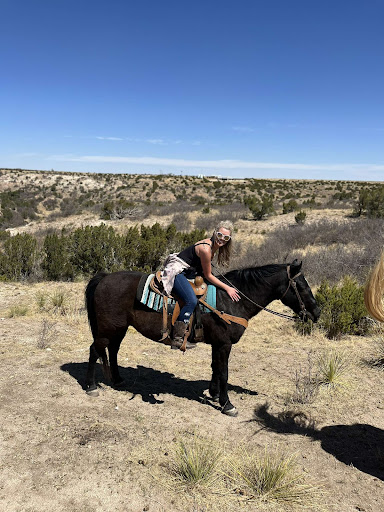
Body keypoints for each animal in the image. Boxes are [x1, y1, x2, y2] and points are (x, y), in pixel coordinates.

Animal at [85, 260, 320, 416]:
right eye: (301, 286)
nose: (317, 313)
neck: (231, 300)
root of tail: (104, 277)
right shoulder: (224, 344)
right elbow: (224, 372)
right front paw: (227, 404)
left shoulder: (218, 344)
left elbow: (215, 368)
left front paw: (214, 394)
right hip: (107, 329)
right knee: (95, 350)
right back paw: (91, 387)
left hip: (119, 328)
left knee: (113, 350)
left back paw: (117, 379)